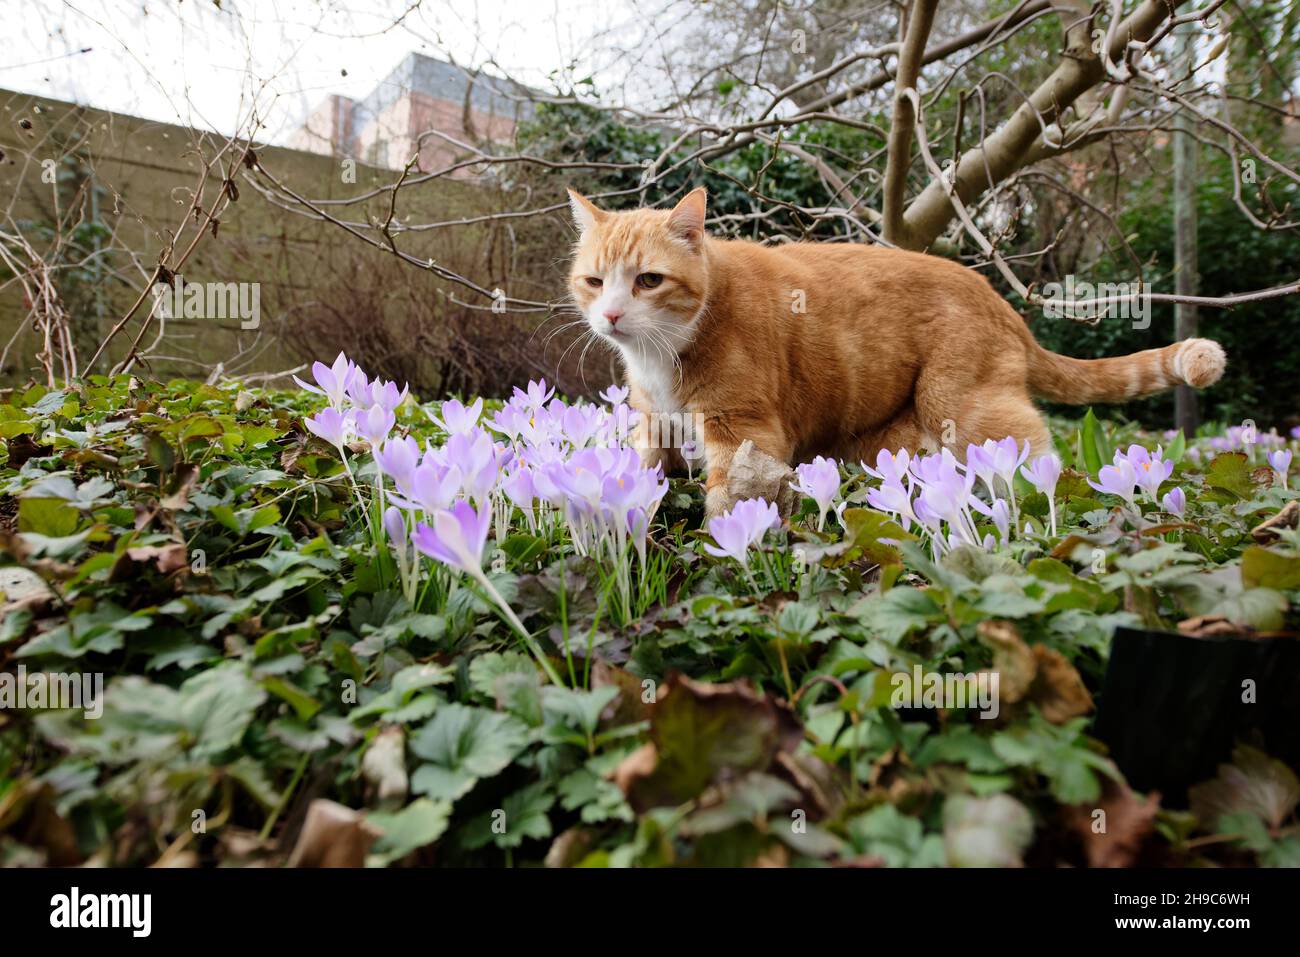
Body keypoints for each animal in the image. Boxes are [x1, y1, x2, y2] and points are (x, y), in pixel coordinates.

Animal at [564, 185, 1222, 514]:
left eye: (648, 280)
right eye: (595, 282)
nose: (612, 315)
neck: (663, 351)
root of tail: (999, 300)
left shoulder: (743, 428)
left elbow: (730, 500)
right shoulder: (654, 423)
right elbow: (641, 470)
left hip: (962, 406)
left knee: (1033, 453)